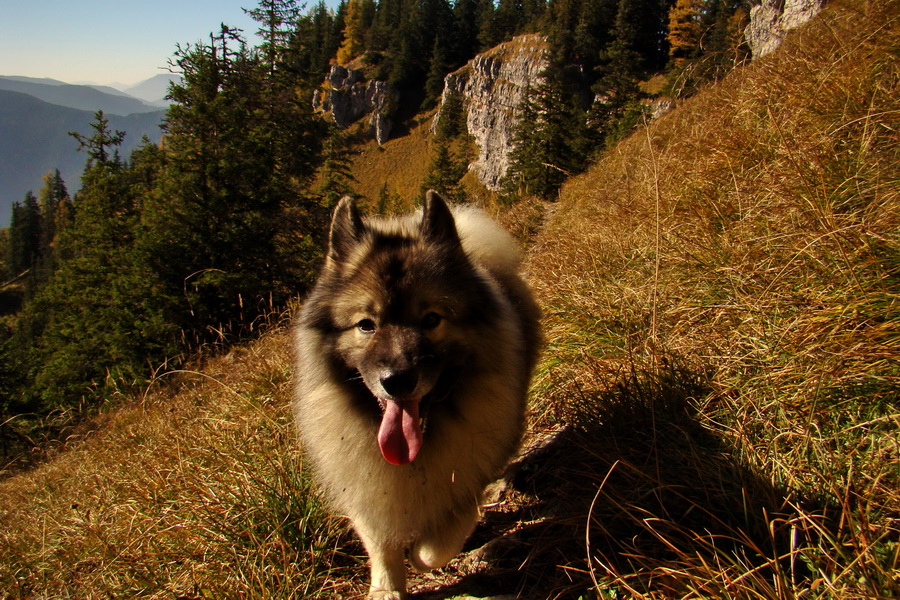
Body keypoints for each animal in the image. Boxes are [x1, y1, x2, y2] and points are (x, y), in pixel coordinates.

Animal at [294, 190, 540, 596]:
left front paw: (418, 555)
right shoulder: (364, 482)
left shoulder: (469, 473)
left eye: (431, 320)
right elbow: (379, 539)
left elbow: (439, 542)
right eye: (366, 325)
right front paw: (386, 586)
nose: (397, 380)